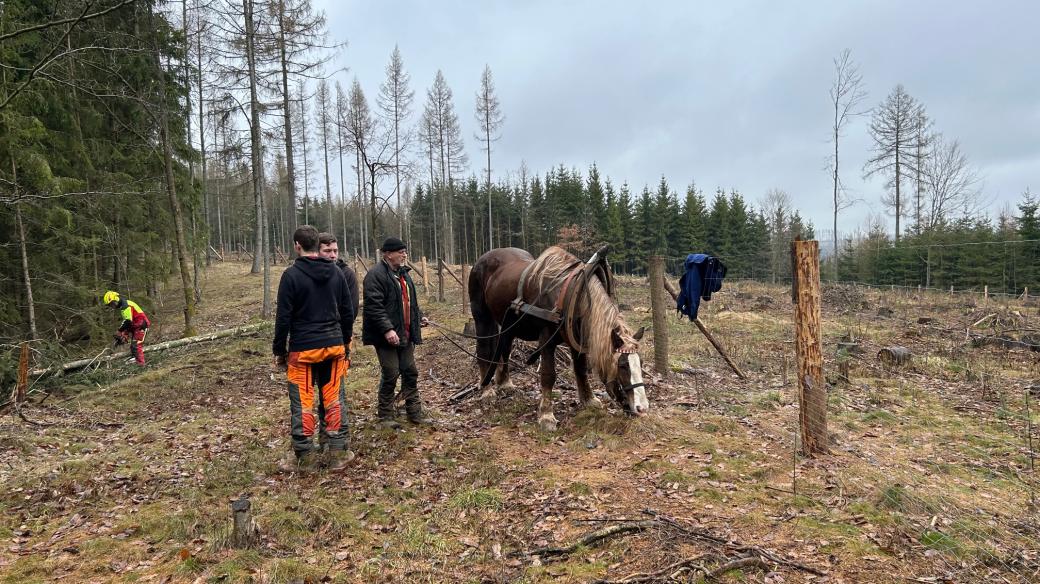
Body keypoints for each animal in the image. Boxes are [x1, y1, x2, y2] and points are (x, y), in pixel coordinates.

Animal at [470, 243, 644, 430]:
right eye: (622, 366)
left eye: (640, 363)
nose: (642, 408)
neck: (571, 291)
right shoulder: (546, 339)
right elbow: (548, 375)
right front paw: (546, 415)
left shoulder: (577, 339)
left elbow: (581, 370)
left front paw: (589, 400)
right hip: (482, 317)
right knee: (483, 350)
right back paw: (486, 389)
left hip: (508, 324)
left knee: (505, 348)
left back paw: (505, 382)